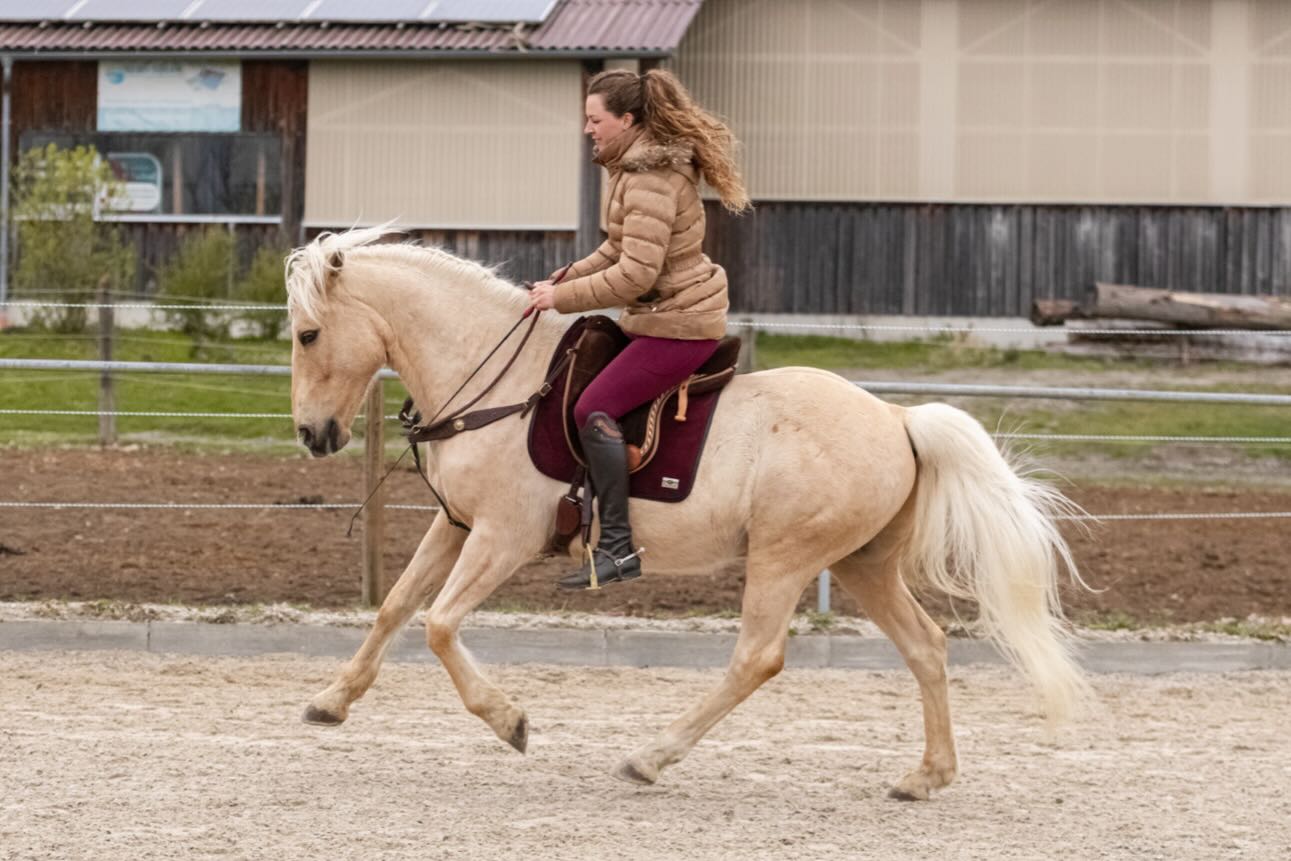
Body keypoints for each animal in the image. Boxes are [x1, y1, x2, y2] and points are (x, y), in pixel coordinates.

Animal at [285, 225, 1090, 800]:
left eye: (307, 334)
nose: (312, 435)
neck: (499, 383)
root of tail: (896, 419)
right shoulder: (456, 526)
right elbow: (396, 606)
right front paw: (330, 700)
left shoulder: (502, 537)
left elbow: (440, 624)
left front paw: (510, 721)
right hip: (862, 564)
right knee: (925, 646)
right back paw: (925, 776)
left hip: (784, 558)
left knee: (757, 657)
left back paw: (650, 756)